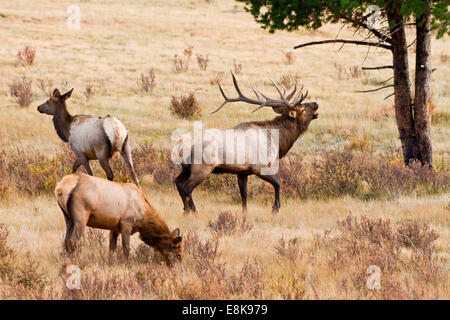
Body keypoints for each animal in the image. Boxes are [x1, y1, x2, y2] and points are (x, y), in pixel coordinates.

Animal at [174, 71, 318, 214]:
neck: (277, 141)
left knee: (178, 183)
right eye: (302, 108)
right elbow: (277, 183)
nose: (316, 103)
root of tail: (179, 144)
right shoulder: (259, 166)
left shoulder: (242, 171)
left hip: (186, 167)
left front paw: (245, 212)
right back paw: (194, 211)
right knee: (187, 188)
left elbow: (244, 193)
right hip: (202, 166)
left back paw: (186, 210)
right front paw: (275, 208)